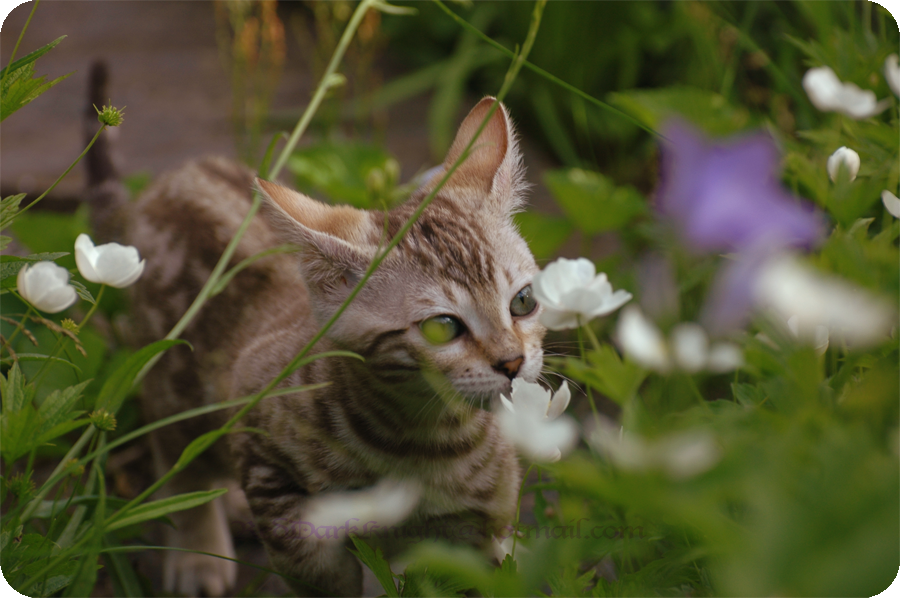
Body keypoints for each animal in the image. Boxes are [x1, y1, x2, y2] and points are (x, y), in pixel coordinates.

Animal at [88, 64, 544, 596]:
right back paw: (199, 548)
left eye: (523, 301)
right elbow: (312, 563)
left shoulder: (485, 523)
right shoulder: (261, 444)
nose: (512, 362)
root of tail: (169, 178)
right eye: (443, 328)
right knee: (182, 458)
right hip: (174, 382)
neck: (424, 443)